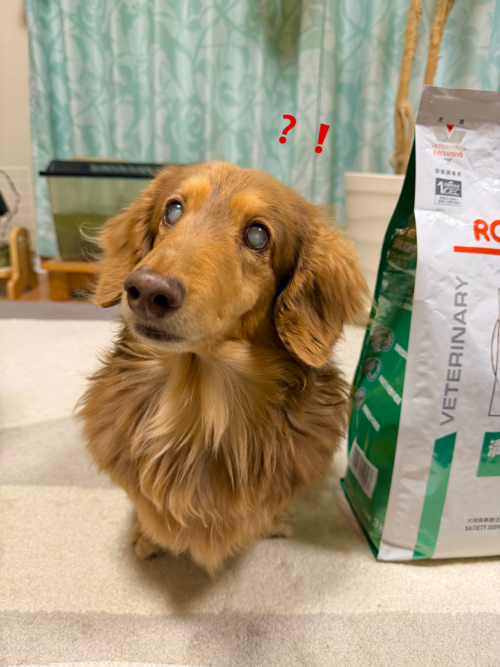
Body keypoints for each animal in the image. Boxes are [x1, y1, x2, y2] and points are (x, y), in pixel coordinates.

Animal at [77, 161, 368, 576]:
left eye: (258, 235)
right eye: (173, 210)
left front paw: (273, 523)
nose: (147, 290)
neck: (198, 406)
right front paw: (147, 536)